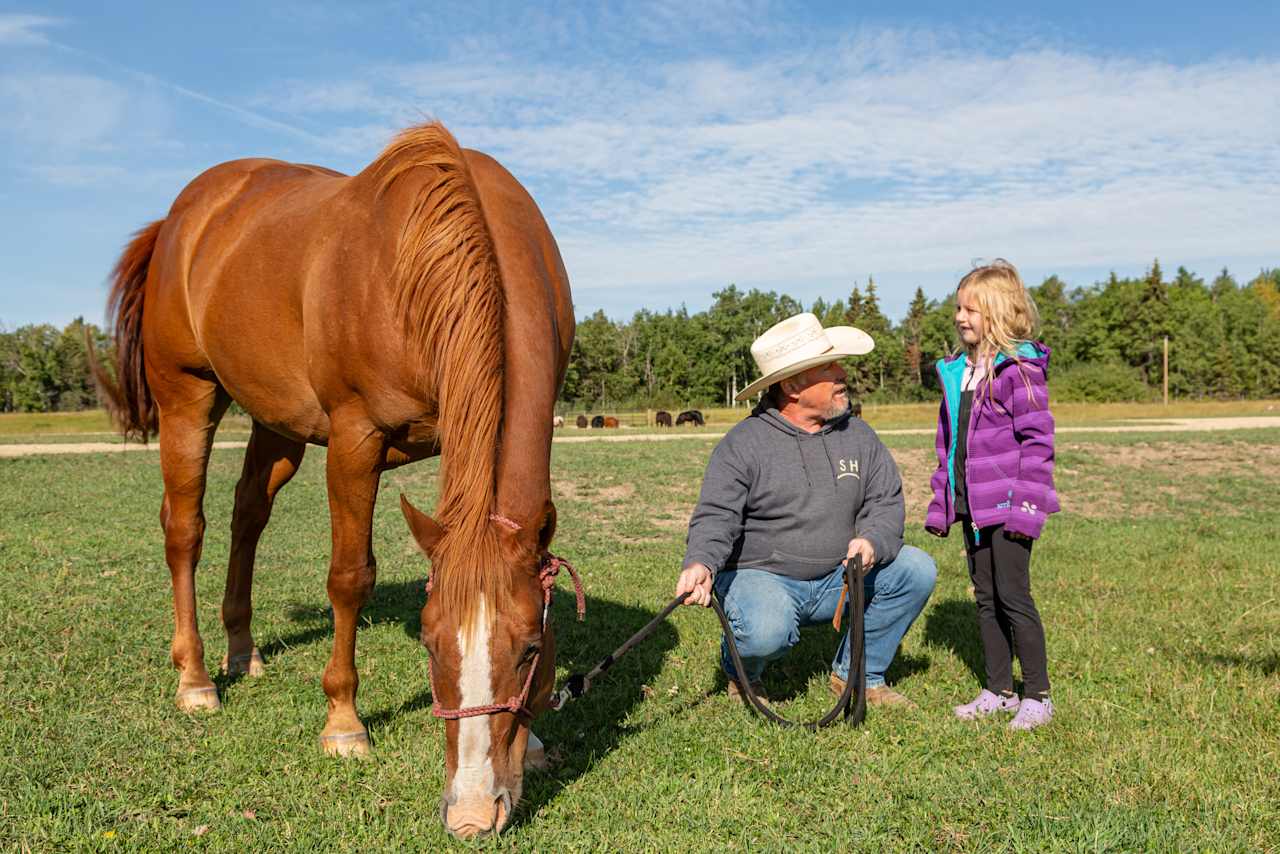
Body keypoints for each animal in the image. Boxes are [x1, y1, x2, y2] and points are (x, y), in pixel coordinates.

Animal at [97, 121, 578, 839]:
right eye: (429, 643)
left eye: (529, 649)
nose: (470, 815)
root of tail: (184, 216)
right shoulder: (355, 440)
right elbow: (350, 577)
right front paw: (345, 725)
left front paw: (538, 742)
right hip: (186, 397)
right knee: (185, 529)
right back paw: (197, 679)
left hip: (276, 423)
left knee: (247, 515)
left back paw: (242, 650)